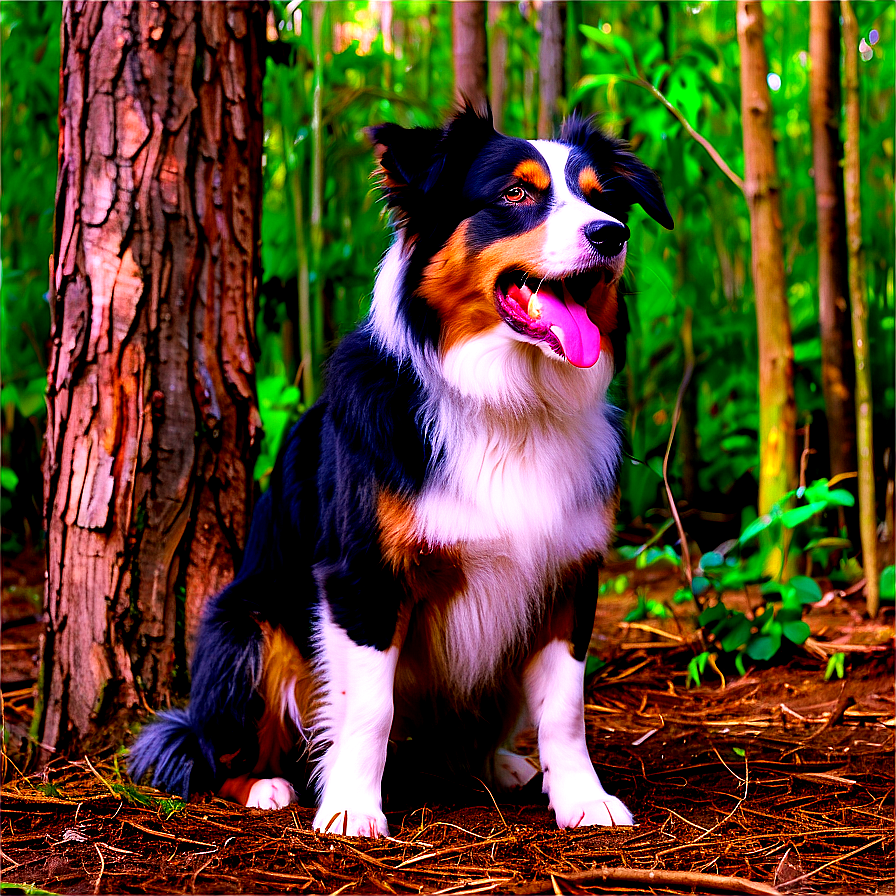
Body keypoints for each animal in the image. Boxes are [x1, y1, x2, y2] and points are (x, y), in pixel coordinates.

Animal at [128, 107, 672, 840]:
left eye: (602, 198)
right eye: (516, 194)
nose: (611, 234)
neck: (508, 404)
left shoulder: (569, 573)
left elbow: (565, 708)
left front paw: (583, 799)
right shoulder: (362, 577)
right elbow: (368, 709)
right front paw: (351, 808)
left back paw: (497, 764)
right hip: (246, 625)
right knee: (217, 747)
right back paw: (267, 785)